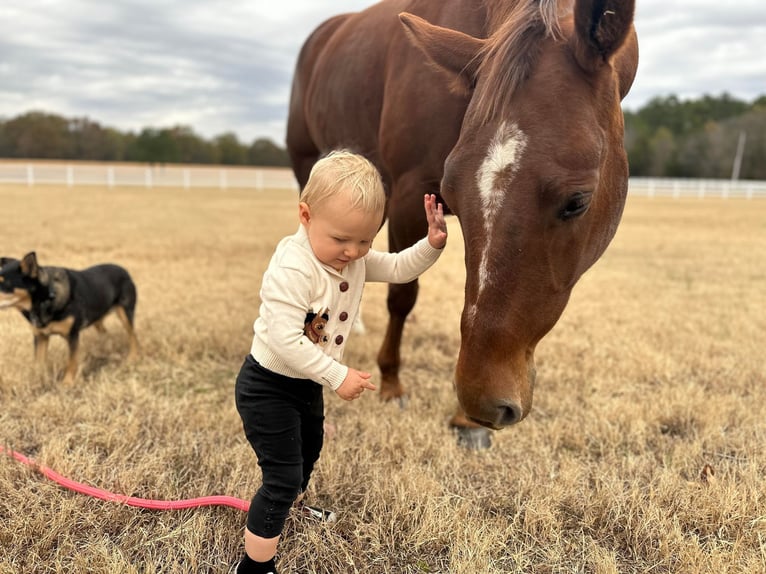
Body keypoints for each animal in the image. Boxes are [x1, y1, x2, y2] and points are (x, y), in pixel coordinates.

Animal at [0, 253, 140, 384]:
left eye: (4, 283)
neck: (46, 297)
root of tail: (124, 270)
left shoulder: (72, 335)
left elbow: (71, 362)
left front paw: (67, 383)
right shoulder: (40, 336)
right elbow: (38, 364)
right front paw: (36, 381)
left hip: (125, 313)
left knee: (133, 336)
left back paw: (132, 358)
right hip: (97, 317)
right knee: (105, 332)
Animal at [284, 0, 640, 450]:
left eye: (577, 202)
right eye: (452, 189)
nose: (483, 402)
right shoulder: (409, 195)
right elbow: (403, 295)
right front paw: (392, 384)